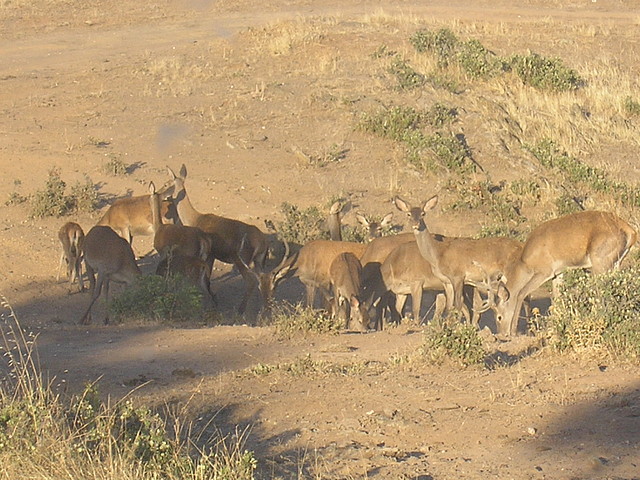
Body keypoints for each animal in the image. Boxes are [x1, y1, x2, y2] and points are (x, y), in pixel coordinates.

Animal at [166, 164, 268, 316]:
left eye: (167, 183)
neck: (194, 219)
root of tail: (263, 243)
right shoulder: (213, 254)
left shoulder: (209, 253)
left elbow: (205, 280)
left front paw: (212, 303)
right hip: (259, 260)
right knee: (265, 279)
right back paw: (264, 311)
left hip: (241, 257)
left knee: (251, 281)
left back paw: (241, 311)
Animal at [490, 210, 636, 338]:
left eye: (499, 316)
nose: (502, 334)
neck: (525, 261)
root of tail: (630, 231)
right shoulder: (557, 274)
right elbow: (556, 298)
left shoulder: (544, 272)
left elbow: (521, 293)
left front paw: (514, 332)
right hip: (615, 264)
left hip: (600, 264)